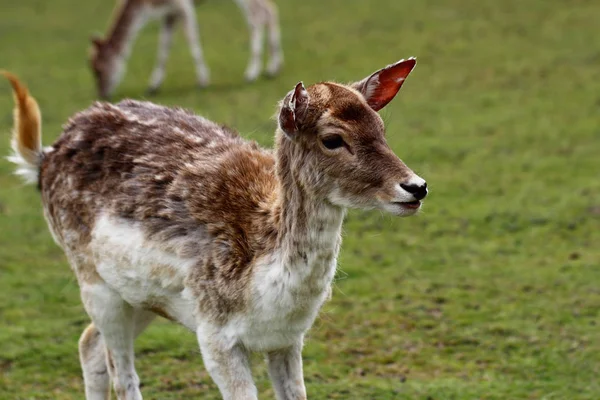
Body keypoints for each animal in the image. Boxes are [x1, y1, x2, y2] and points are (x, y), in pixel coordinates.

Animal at [89, 0, 284, 99]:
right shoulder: (168, 13)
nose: (102, 94)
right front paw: (153, 86)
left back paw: (251, 73)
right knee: (270, 10)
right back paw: (272, 69)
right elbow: (164, 47)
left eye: (99, 69)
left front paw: (203, 81)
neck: (147, 7)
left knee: (257, 18)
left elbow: (192, 40)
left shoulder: (182, 5)